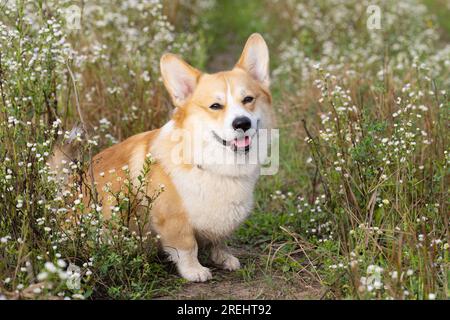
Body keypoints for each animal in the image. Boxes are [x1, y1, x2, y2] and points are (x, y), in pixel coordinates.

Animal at [51, 33, 272, 282]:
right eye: (215, 106)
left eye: (248, 99)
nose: (242, 123)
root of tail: (62, 192)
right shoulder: (173, 222)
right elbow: (187, 247)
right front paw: (194, 271)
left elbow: (219, 240)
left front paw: (224, 258)